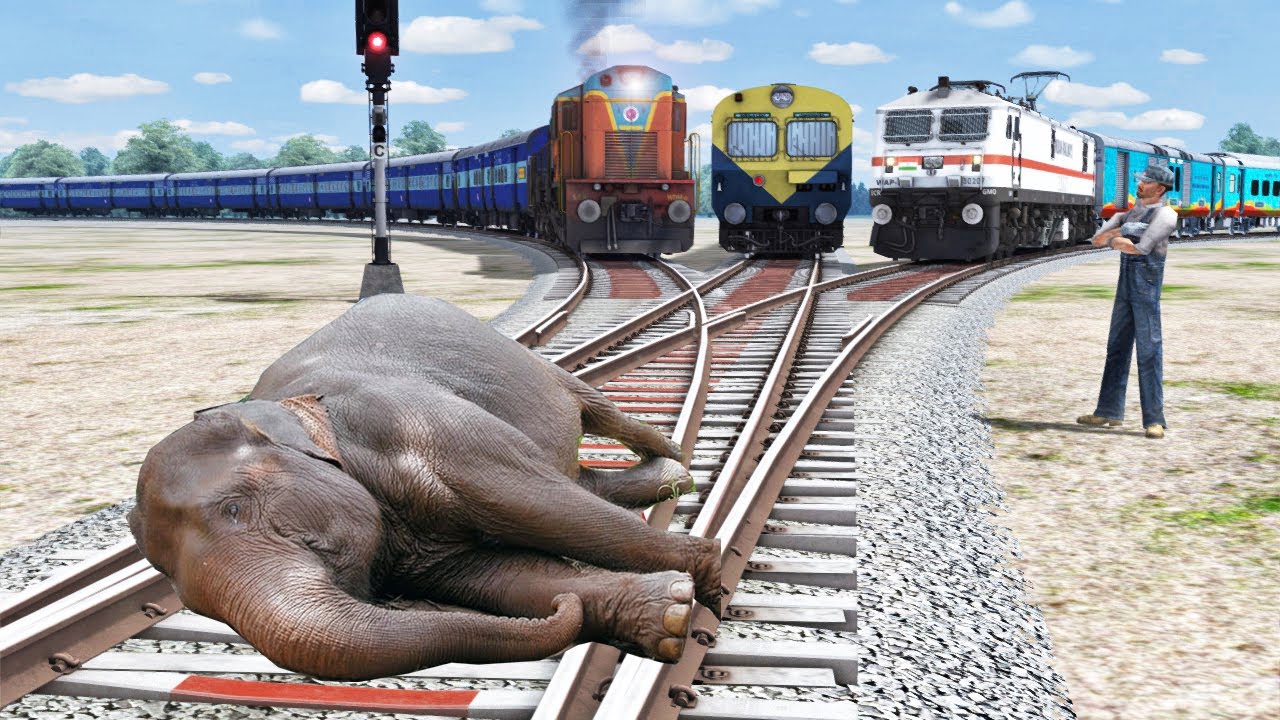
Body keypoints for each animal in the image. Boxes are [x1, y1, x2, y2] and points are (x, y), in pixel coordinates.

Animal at [128, 294, 721, 681]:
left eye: (234, 508)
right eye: (190, 603)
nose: (563, 606)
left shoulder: (421, 425)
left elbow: (540, 504)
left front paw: (710, 584)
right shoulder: (420, 551)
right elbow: (502, 577)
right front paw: (670, 614)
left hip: (531, 364)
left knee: (595, 422)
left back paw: (676, 468)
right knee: (580, 478)